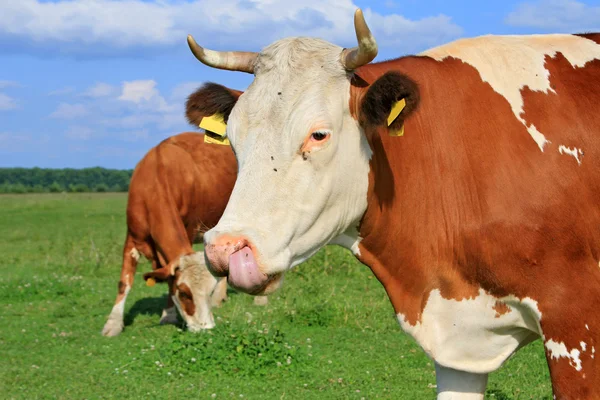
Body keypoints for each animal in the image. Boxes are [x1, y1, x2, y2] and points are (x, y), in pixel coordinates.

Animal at [103, 132, 268, 338]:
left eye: (207, 291)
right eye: (183, 293)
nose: (207, 328)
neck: (154, 182)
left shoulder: (187, 231)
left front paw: (168, 315)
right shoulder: (132, 237)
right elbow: (124, 282)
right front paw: (113, 324)